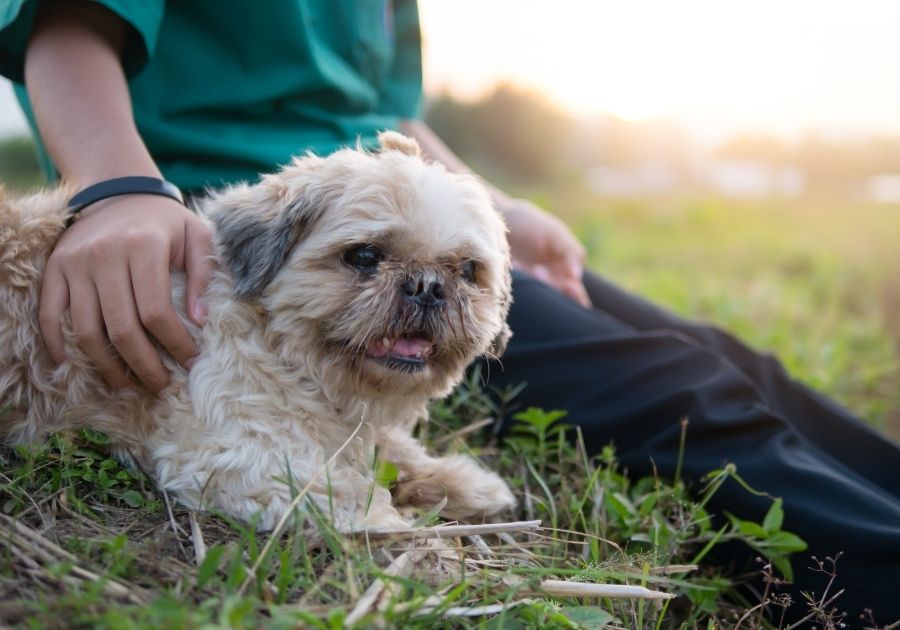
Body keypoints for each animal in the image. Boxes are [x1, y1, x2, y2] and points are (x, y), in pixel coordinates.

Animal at [0, 133, 516, 532]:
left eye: (468, 271)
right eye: (365, 256)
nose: (428, 286)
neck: (286, 352)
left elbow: (393, 447)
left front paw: (463, 481)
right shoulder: (245, 457)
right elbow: (354, 492)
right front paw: (410, 531)